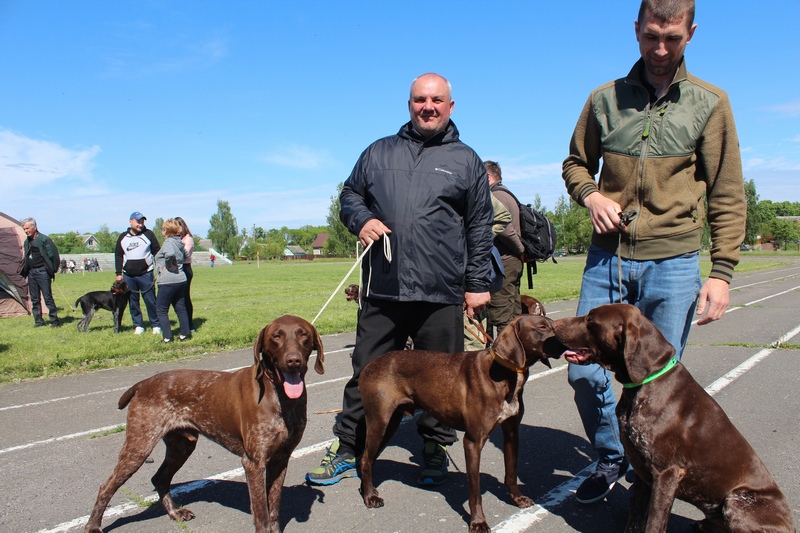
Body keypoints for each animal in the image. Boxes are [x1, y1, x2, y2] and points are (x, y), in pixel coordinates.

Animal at [84, 314, 324, 528]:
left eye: (303, 334)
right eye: (276, 336)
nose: (293, 361)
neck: (281, 396)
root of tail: (143, 384)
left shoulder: (280, 459)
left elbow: (273, 510)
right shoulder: (254, 463)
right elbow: (262, 516)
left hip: (182, 445)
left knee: (160, 478)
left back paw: (175, 512)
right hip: (139, 446)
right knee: (105, 487)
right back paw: (93, 526)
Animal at [360, 314, 564, 528]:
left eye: (553, 325)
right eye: (541, 327)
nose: (565, 343)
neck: (503, 372)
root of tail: (369, 366)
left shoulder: (511, 432)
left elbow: (511, 472)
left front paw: (517, 498)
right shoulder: (473, 441)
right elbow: (475, 490)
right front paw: (478, 521)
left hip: (390, 422)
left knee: (369, 458)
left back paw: (369, 489)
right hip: (379, 422)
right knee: (365, 458)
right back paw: (369, 496)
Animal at [556, 304, 792, 532]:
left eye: (590, 320)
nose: (554, 324)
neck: (644, 385)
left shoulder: (666, 474)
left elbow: (653, 523)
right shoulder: (642, 471)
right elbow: (635, 517)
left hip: (736, 500)